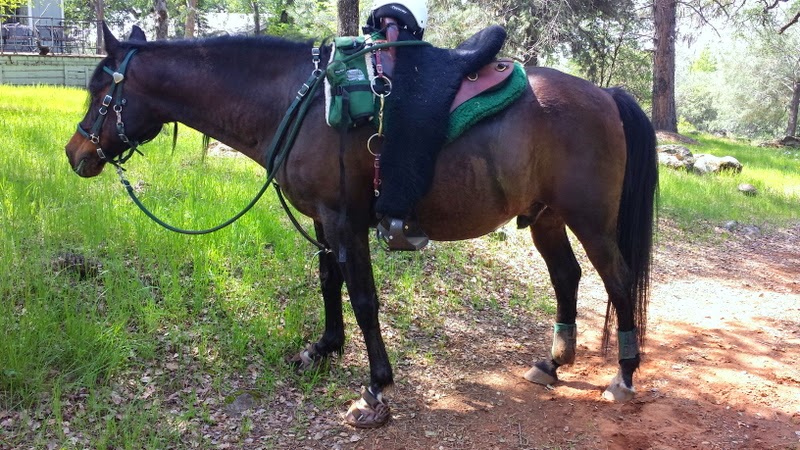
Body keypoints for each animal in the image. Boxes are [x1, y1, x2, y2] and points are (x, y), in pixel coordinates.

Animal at [65, 24, 658, 428]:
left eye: (100, 92)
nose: (75, 154)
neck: (298, 102)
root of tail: (606, 94)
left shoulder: (345, 220)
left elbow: (364, 298)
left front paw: (376, 387)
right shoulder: (323, 221)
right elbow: (329, 285)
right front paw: (322, 349)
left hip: (592, 222)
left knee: (618, 281)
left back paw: (625, 375)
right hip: (547, 219)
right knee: (566, 278)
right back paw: (552, 364)